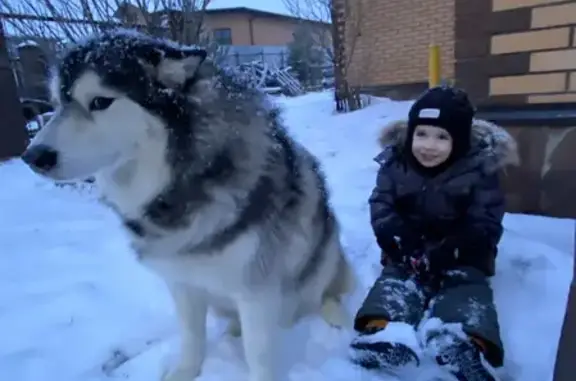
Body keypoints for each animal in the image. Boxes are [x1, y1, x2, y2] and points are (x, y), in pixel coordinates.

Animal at [21, 30, 356, 380]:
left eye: (100, 102)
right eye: (56, 105)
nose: (33, 156)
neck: (182, 183)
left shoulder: (256, 291)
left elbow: (259, 354)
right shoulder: (181, 281)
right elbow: (192, 335)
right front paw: (185, 371)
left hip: (324, 254)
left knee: (326, 292)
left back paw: (336, 315)